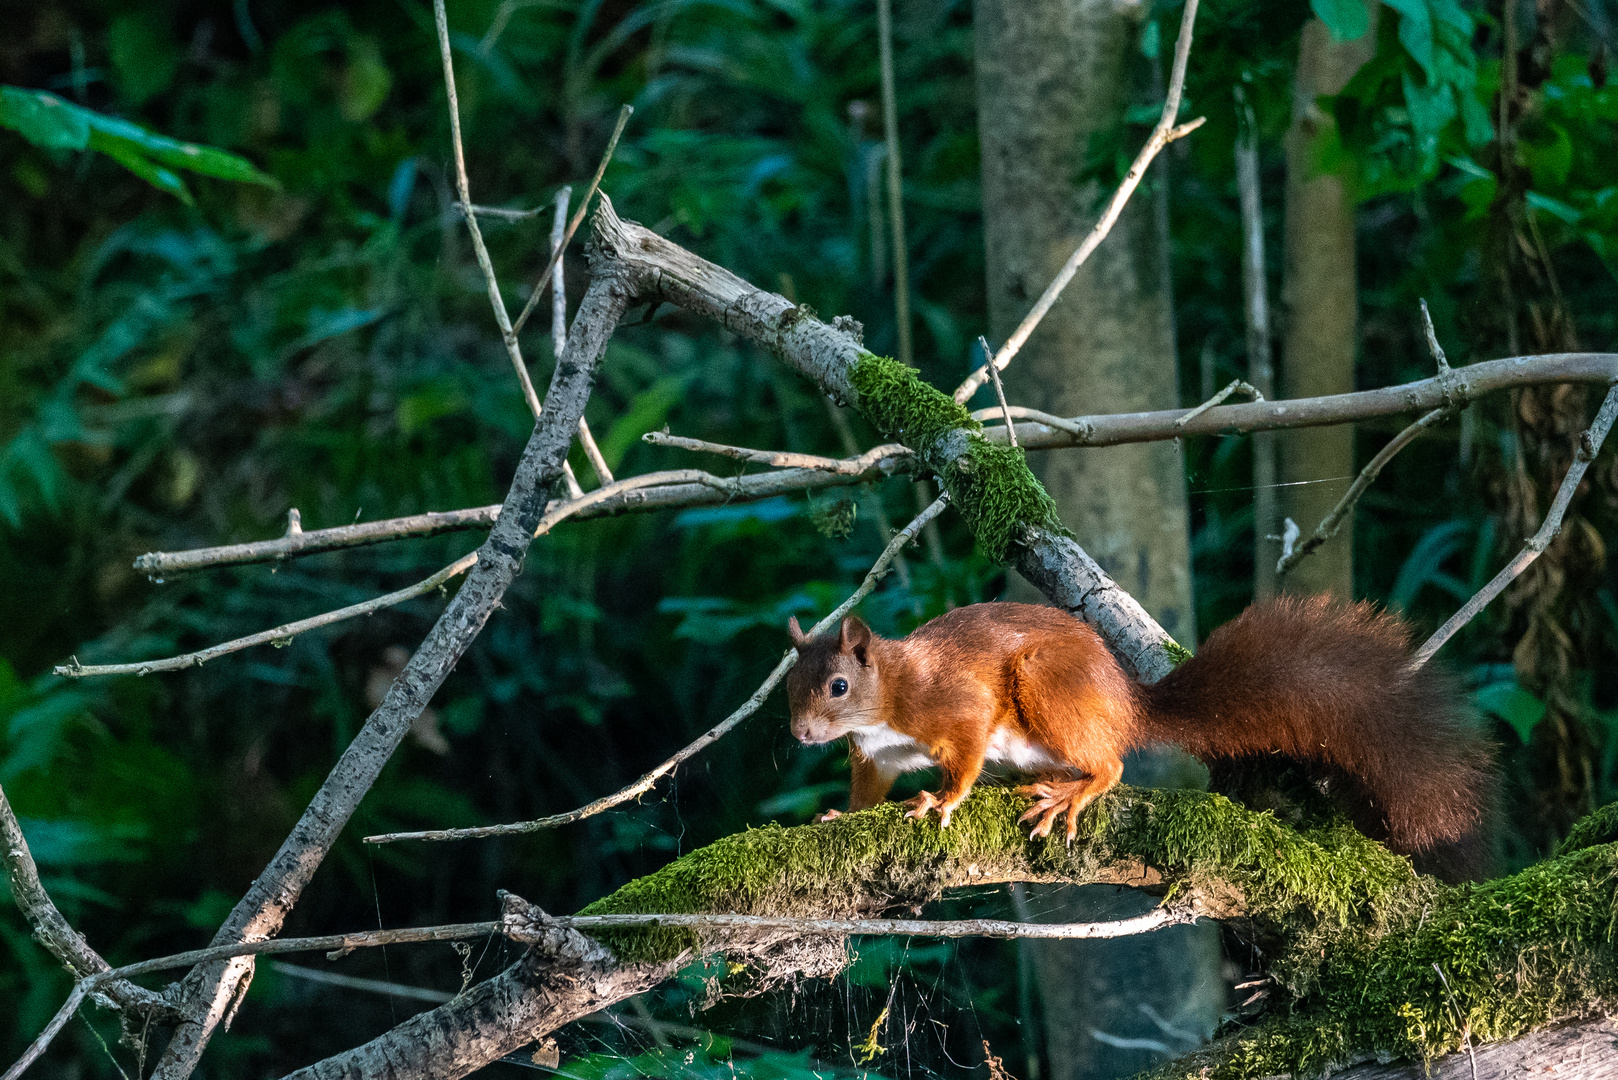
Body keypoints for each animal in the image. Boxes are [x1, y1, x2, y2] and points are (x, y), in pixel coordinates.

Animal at [783, 599, 1488, 861]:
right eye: (787, 687)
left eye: (838, 686)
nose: (800, 736)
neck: (890, 698)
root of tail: (1126, 705)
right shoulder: (877, 756)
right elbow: (868, 790)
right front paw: (841, 815)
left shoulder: (954, 708)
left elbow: (966, 754)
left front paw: (942, 800)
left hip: (1047, 686)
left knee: (1113, 765)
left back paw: (1073, 792)